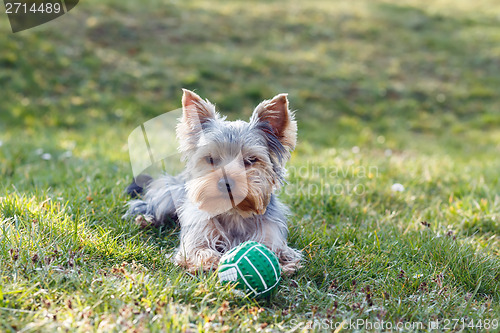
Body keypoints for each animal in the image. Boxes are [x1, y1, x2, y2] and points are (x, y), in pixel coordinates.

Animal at [125, 89, 302, 274]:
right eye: (210, 158)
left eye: (251, 160)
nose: (226, 183)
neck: (233, 212)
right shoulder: (198, 233)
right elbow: (198, 249)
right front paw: (210, 261)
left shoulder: (270, 232)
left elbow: (276, 250)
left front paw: (281, 262)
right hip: (169, 195)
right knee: (148, 206)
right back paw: (145, 220)